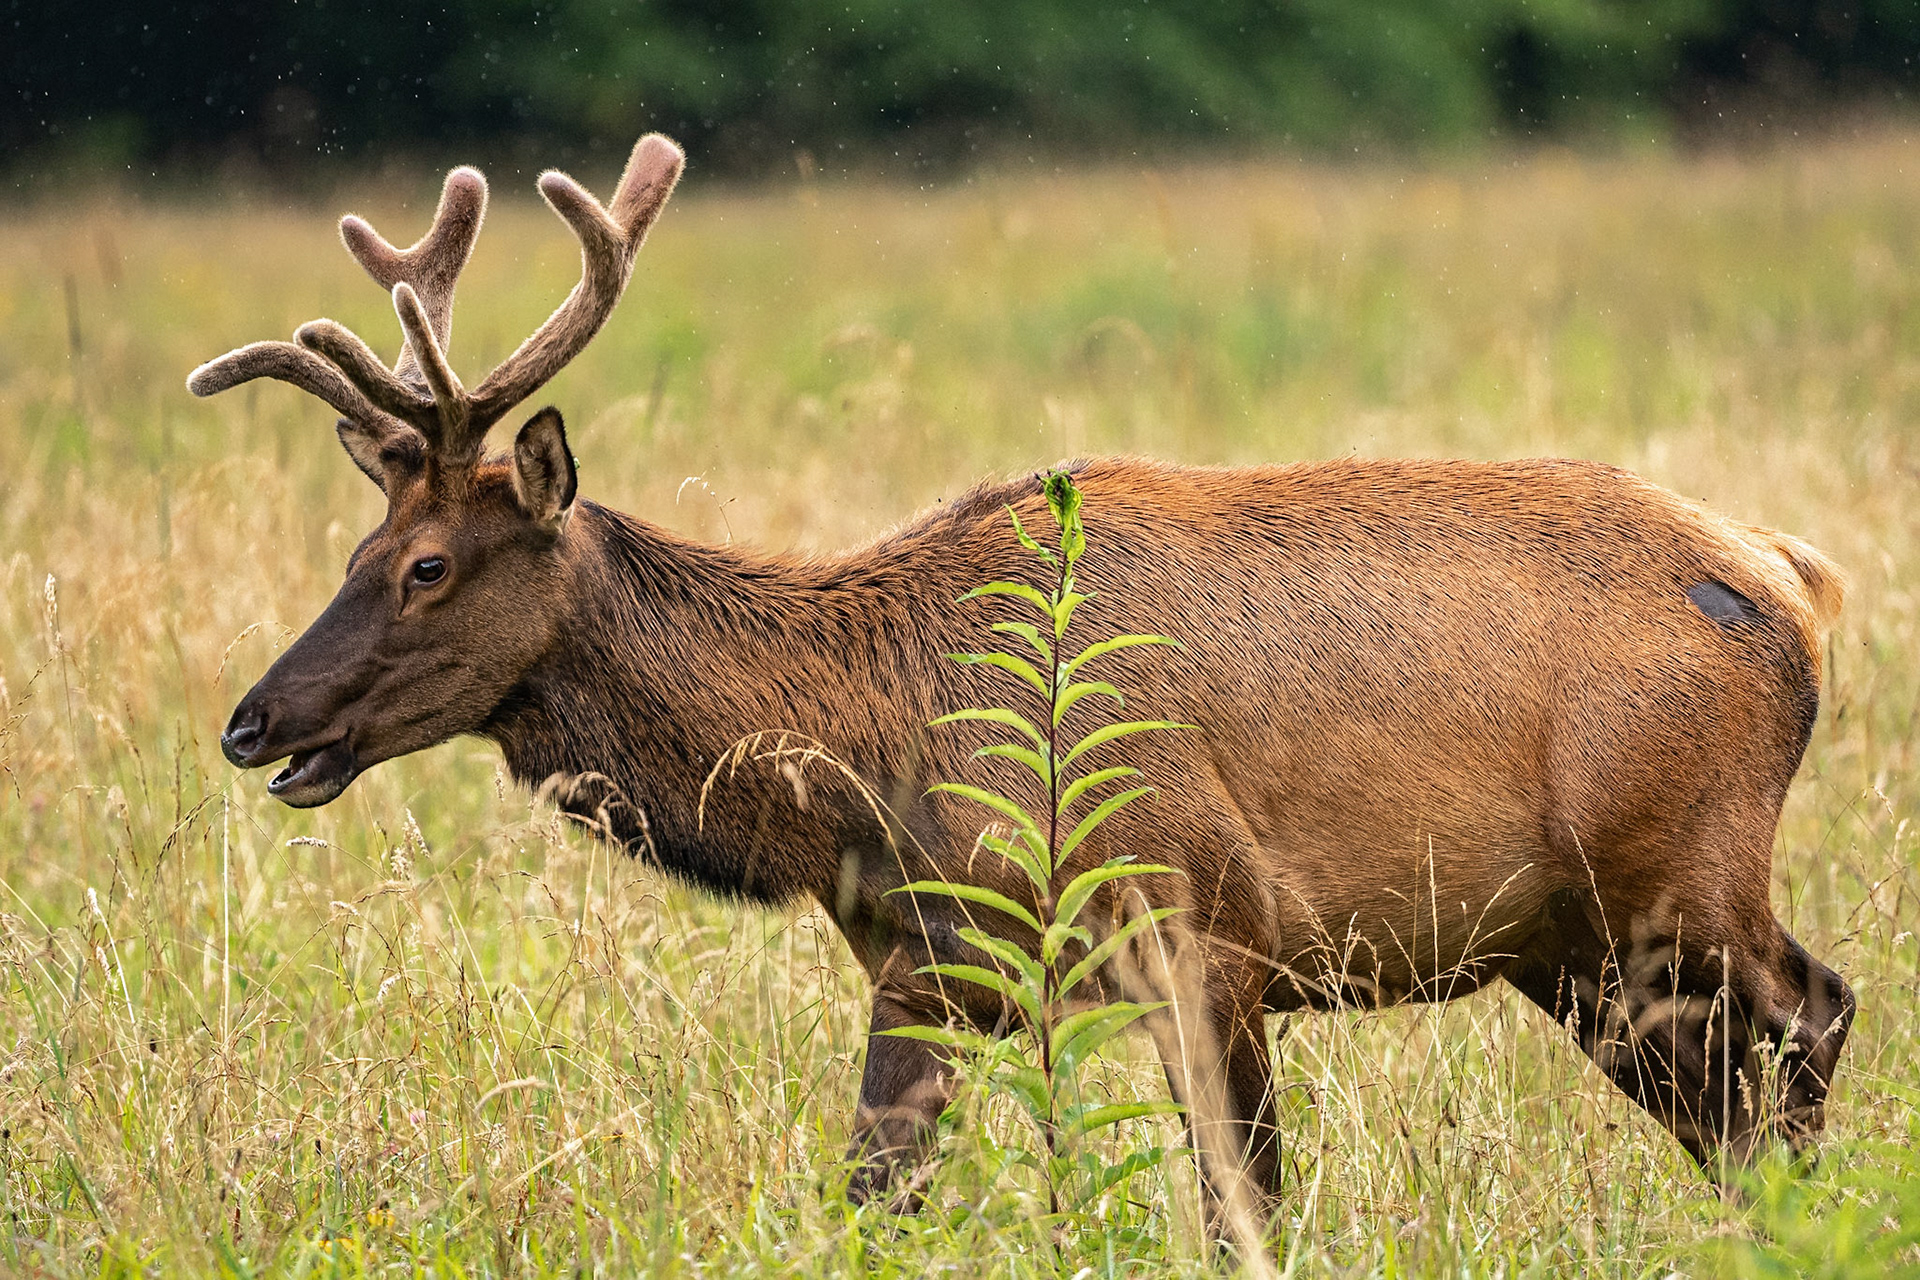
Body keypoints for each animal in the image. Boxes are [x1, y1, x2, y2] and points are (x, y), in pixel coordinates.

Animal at [192, 131, 1854, 1215]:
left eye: (426, 566)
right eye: (357, 542)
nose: (253, 720)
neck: (869, 763)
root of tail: (1793, 577)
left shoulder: (1201, 921)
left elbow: (1243, 1206)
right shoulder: (932, 965)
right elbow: (874, 1193)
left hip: (1675, 865)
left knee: (1815, 1014)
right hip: (1571, 944)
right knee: (1728, 1103)